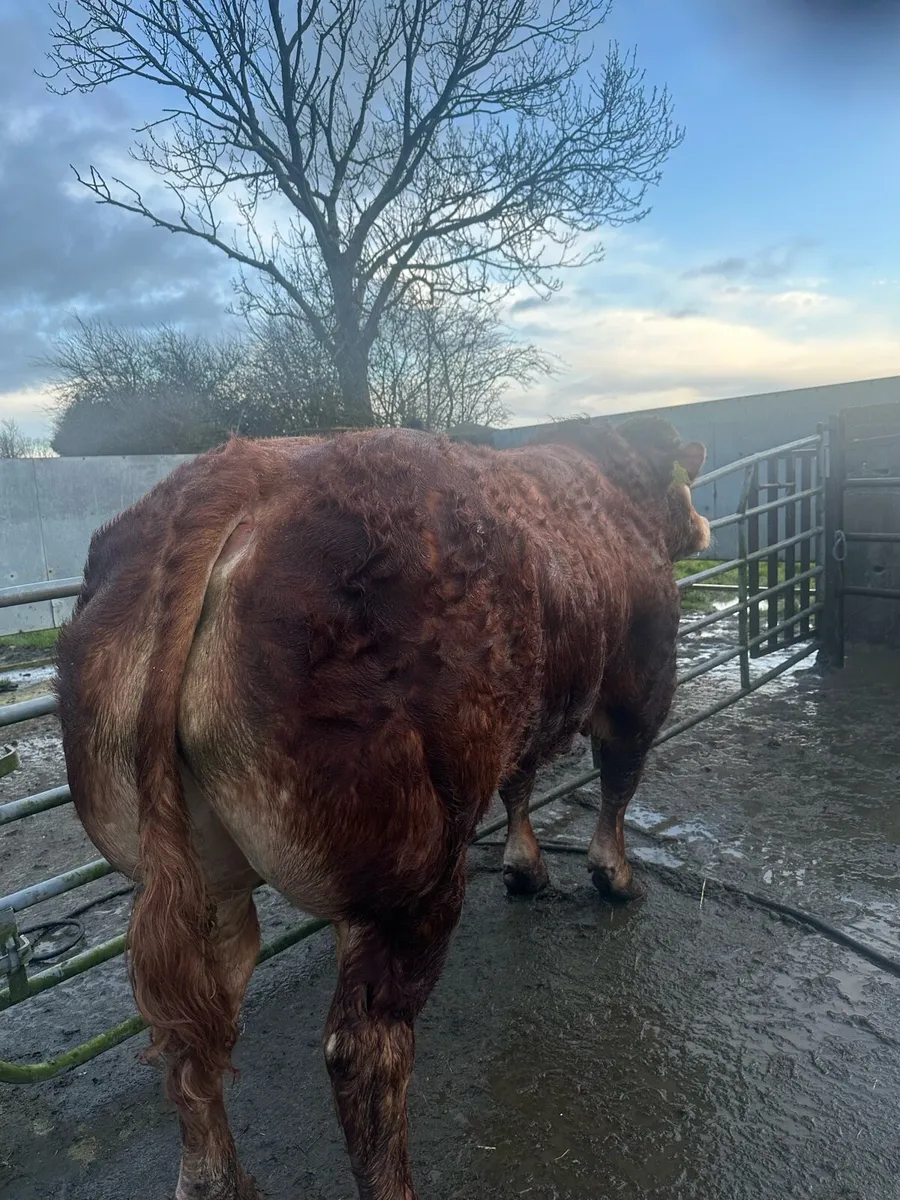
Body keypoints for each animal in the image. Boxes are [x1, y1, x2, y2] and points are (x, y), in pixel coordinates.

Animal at [55, 416, 708, 1200]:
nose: (703, 525)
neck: (613, 489)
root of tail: (223, 480)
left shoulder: (517, 717)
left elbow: (520, 783)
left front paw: (525, 867)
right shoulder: (640, 680)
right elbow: (618, 782)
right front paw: (614, 877)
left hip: (198, 880)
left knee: (193, 1037)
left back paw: (220, 1180)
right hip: (406, 874)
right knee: (365, 1050)